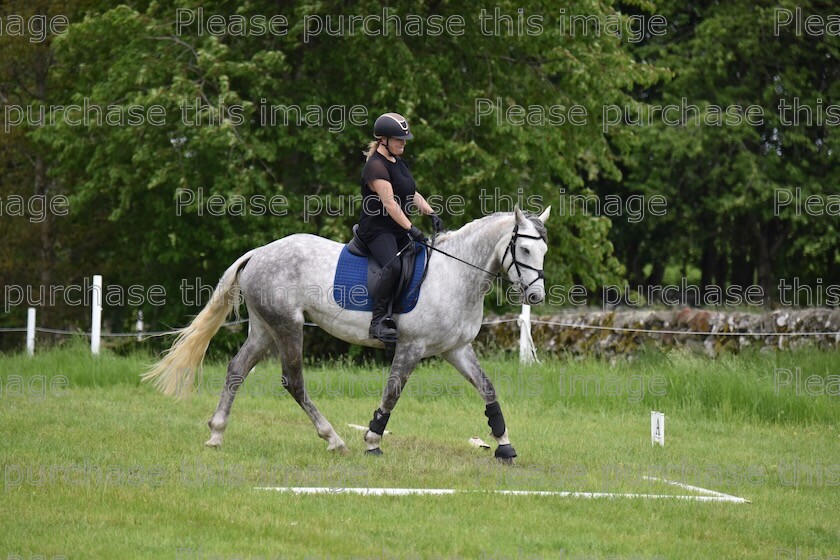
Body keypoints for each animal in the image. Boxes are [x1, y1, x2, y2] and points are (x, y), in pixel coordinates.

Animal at [144, 206, 552, 460]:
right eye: (524, 249)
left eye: (544, 250)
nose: (536, 296)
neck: (456, 275)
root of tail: (258, 253)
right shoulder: (411, 347)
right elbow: (391, 394)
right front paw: (372, 440)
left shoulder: (457, 349)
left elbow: (487, 389)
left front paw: (504, 444)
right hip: (288, 326)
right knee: (294, 382)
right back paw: (333, 439)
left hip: (264, 328)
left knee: (236, 371)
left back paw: (216, 433)